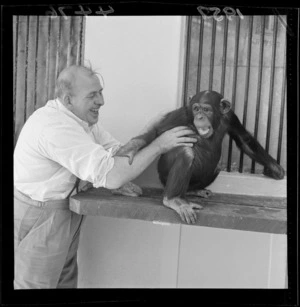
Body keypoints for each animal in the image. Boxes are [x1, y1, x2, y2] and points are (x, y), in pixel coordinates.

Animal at [115, 91, 286, 224]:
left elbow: (244, 139)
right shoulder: (183, 114)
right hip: (163, 177)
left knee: (217, 165)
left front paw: (275, 168)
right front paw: (131, 147)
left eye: (206, 109)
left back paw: (194, 191)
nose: (199, 117)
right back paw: (173, 199)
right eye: (196, 108)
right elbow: (158, 131)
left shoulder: (231, 117)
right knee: (186, 153)